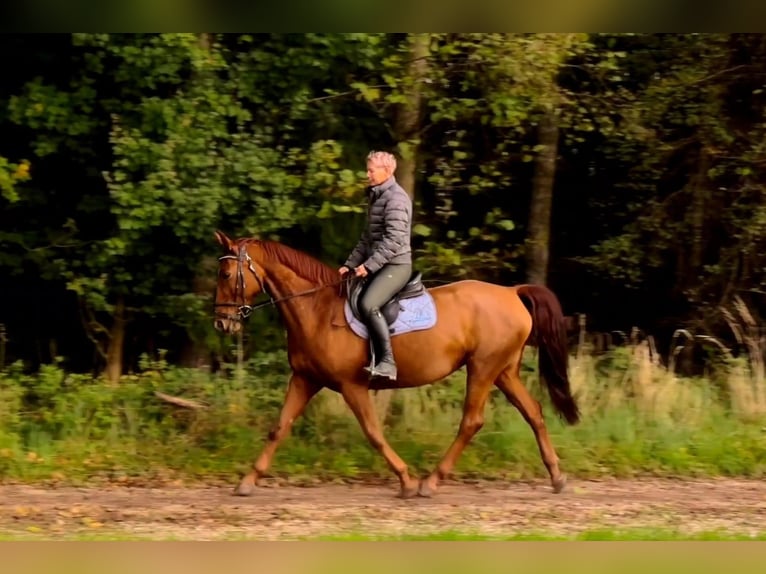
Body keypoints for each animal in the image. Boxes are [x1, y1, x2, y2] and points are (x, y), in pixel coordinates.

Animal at [213, 230, 580, 500]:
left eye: (227, 274)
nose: (221, 323)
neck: (316, 309)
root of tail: (512, 292)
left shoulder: (351, 385)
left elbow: (373, 432)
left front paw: (406, 481)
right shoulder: (305, 379)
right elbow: (279, 427)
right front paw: (247, 481)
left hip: (483, 367)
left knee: (472, 421)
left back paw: (431, 482)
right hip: (503, 370)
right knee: (533, 412)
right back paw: (557, 477)